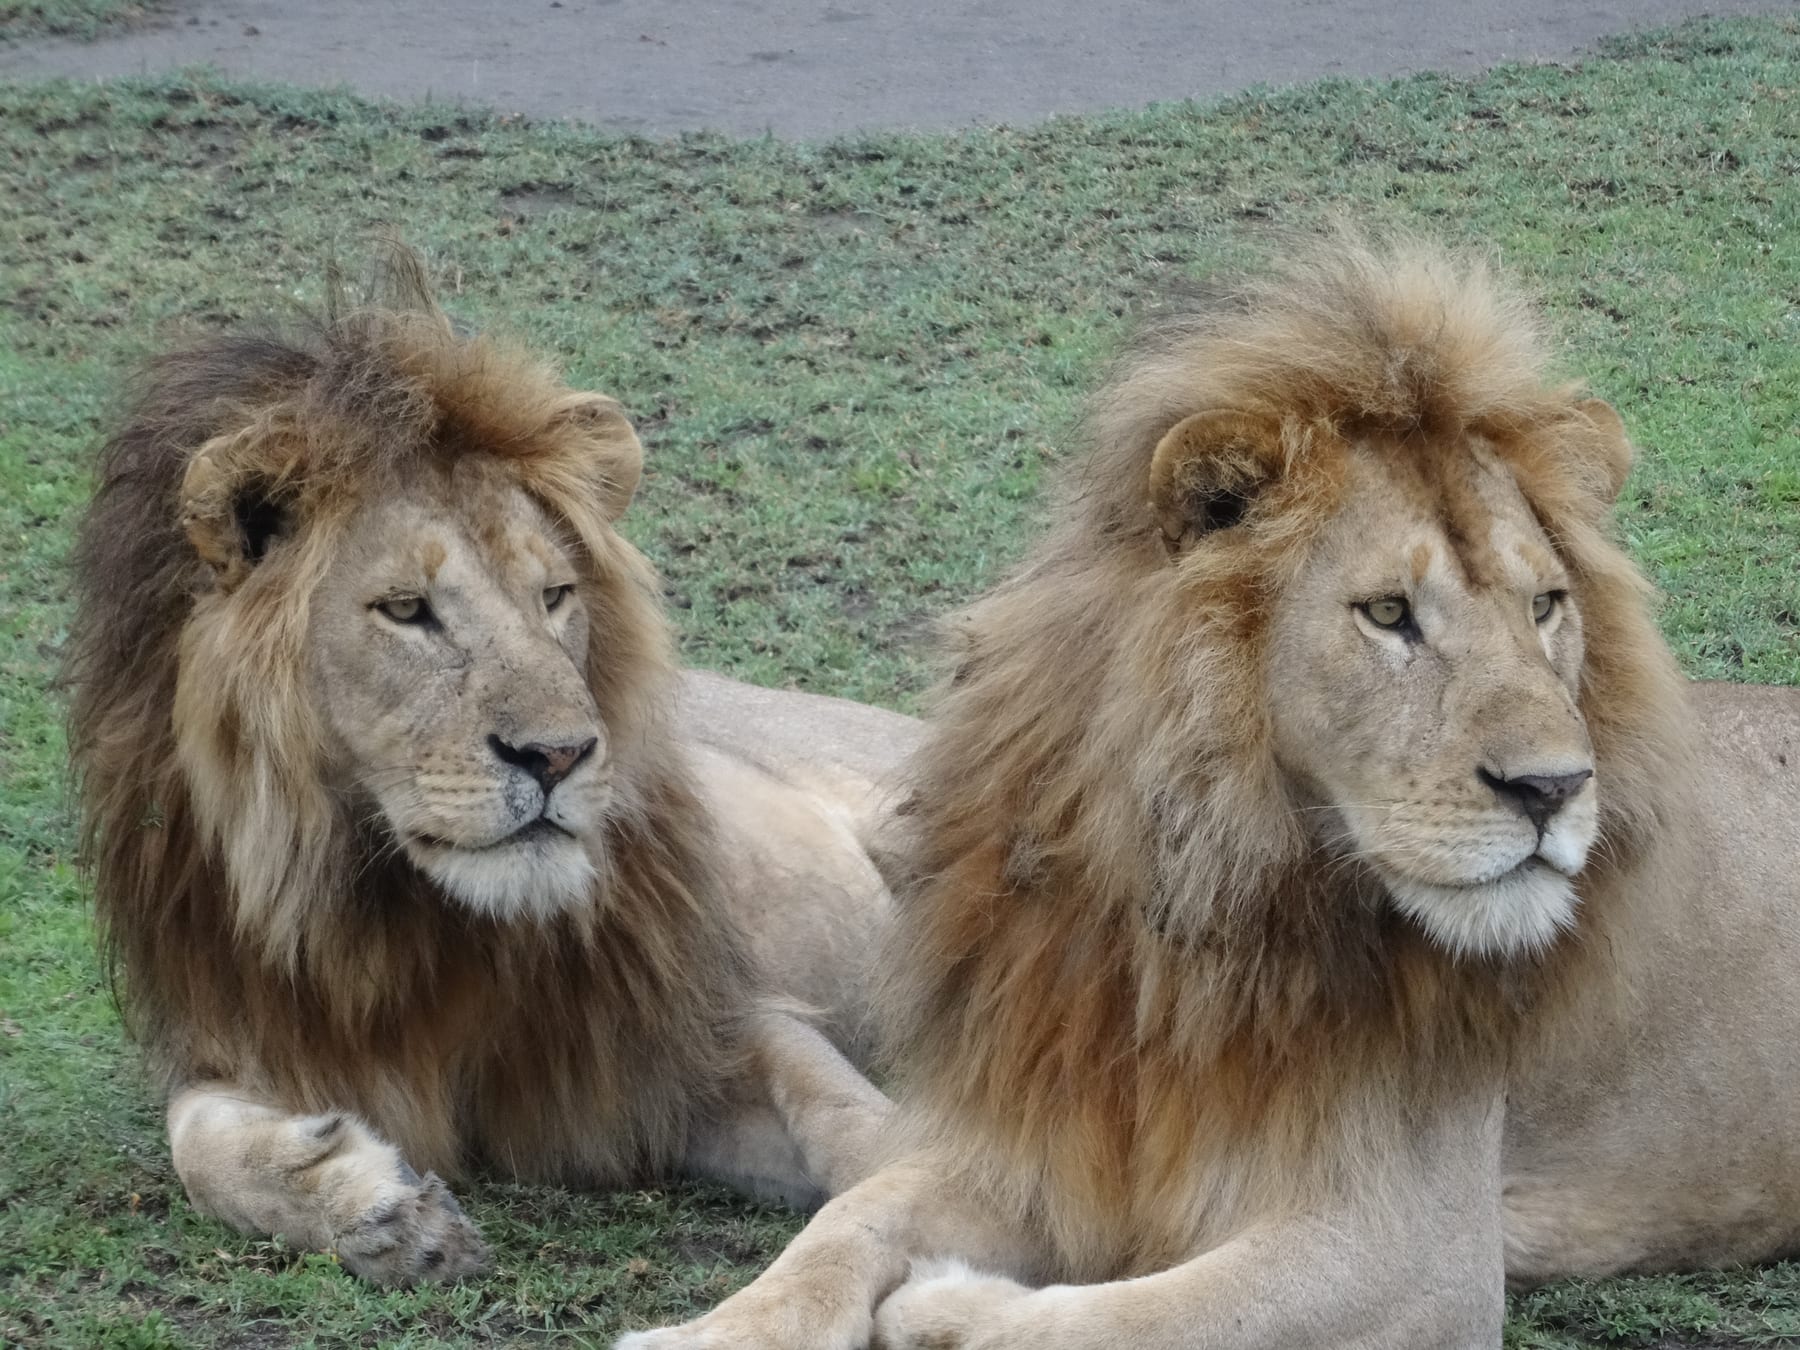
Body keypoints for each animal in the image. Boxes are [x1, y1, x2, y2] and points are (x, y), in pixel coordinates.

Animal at [64, 250, 918, 1285]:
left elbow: (858, 1125)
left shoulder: (691, 1025)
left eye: (554, 596)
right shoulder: (252, 1028)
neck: (415, 923)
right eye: (406, 610)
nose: (558, 754)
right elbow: (194, 1140)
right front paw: (373, 1208)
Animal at [620, 238, 1800, 1350]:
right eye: (1387, 614)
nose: (1554, 789)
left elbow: (1140, 1320)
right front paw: (712, 1332)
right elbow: (847, 1222)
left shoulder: (1418, 1251)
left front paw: (946, 1308)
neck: (1196, 909)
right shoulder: (1051, 1137)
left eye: (1546, 604)